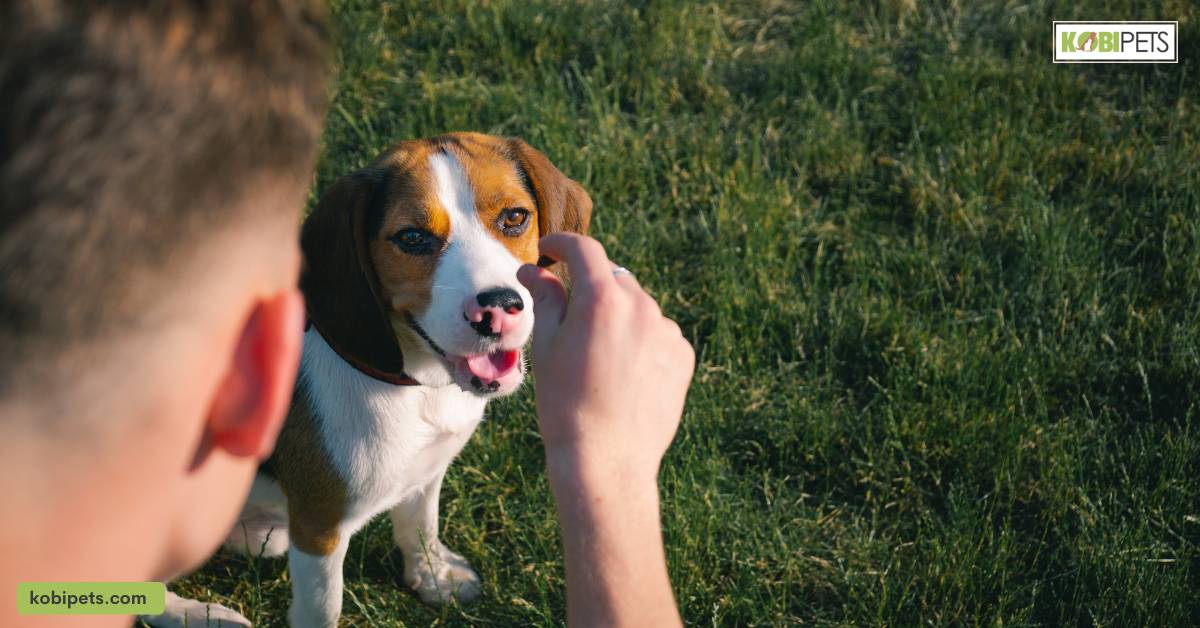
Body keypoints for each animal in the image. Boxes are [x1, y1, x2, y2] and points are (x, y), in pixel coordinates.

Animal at [147, 132, 592, 628]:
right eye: (412, 238)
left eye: (514, 217)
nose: (498, 307)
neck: (412, 386)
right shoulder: (319, 527)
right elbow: (324, 608)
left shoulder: (427, 470)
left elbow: (420, 525)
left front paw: (433, 576)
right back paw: (197, 614)